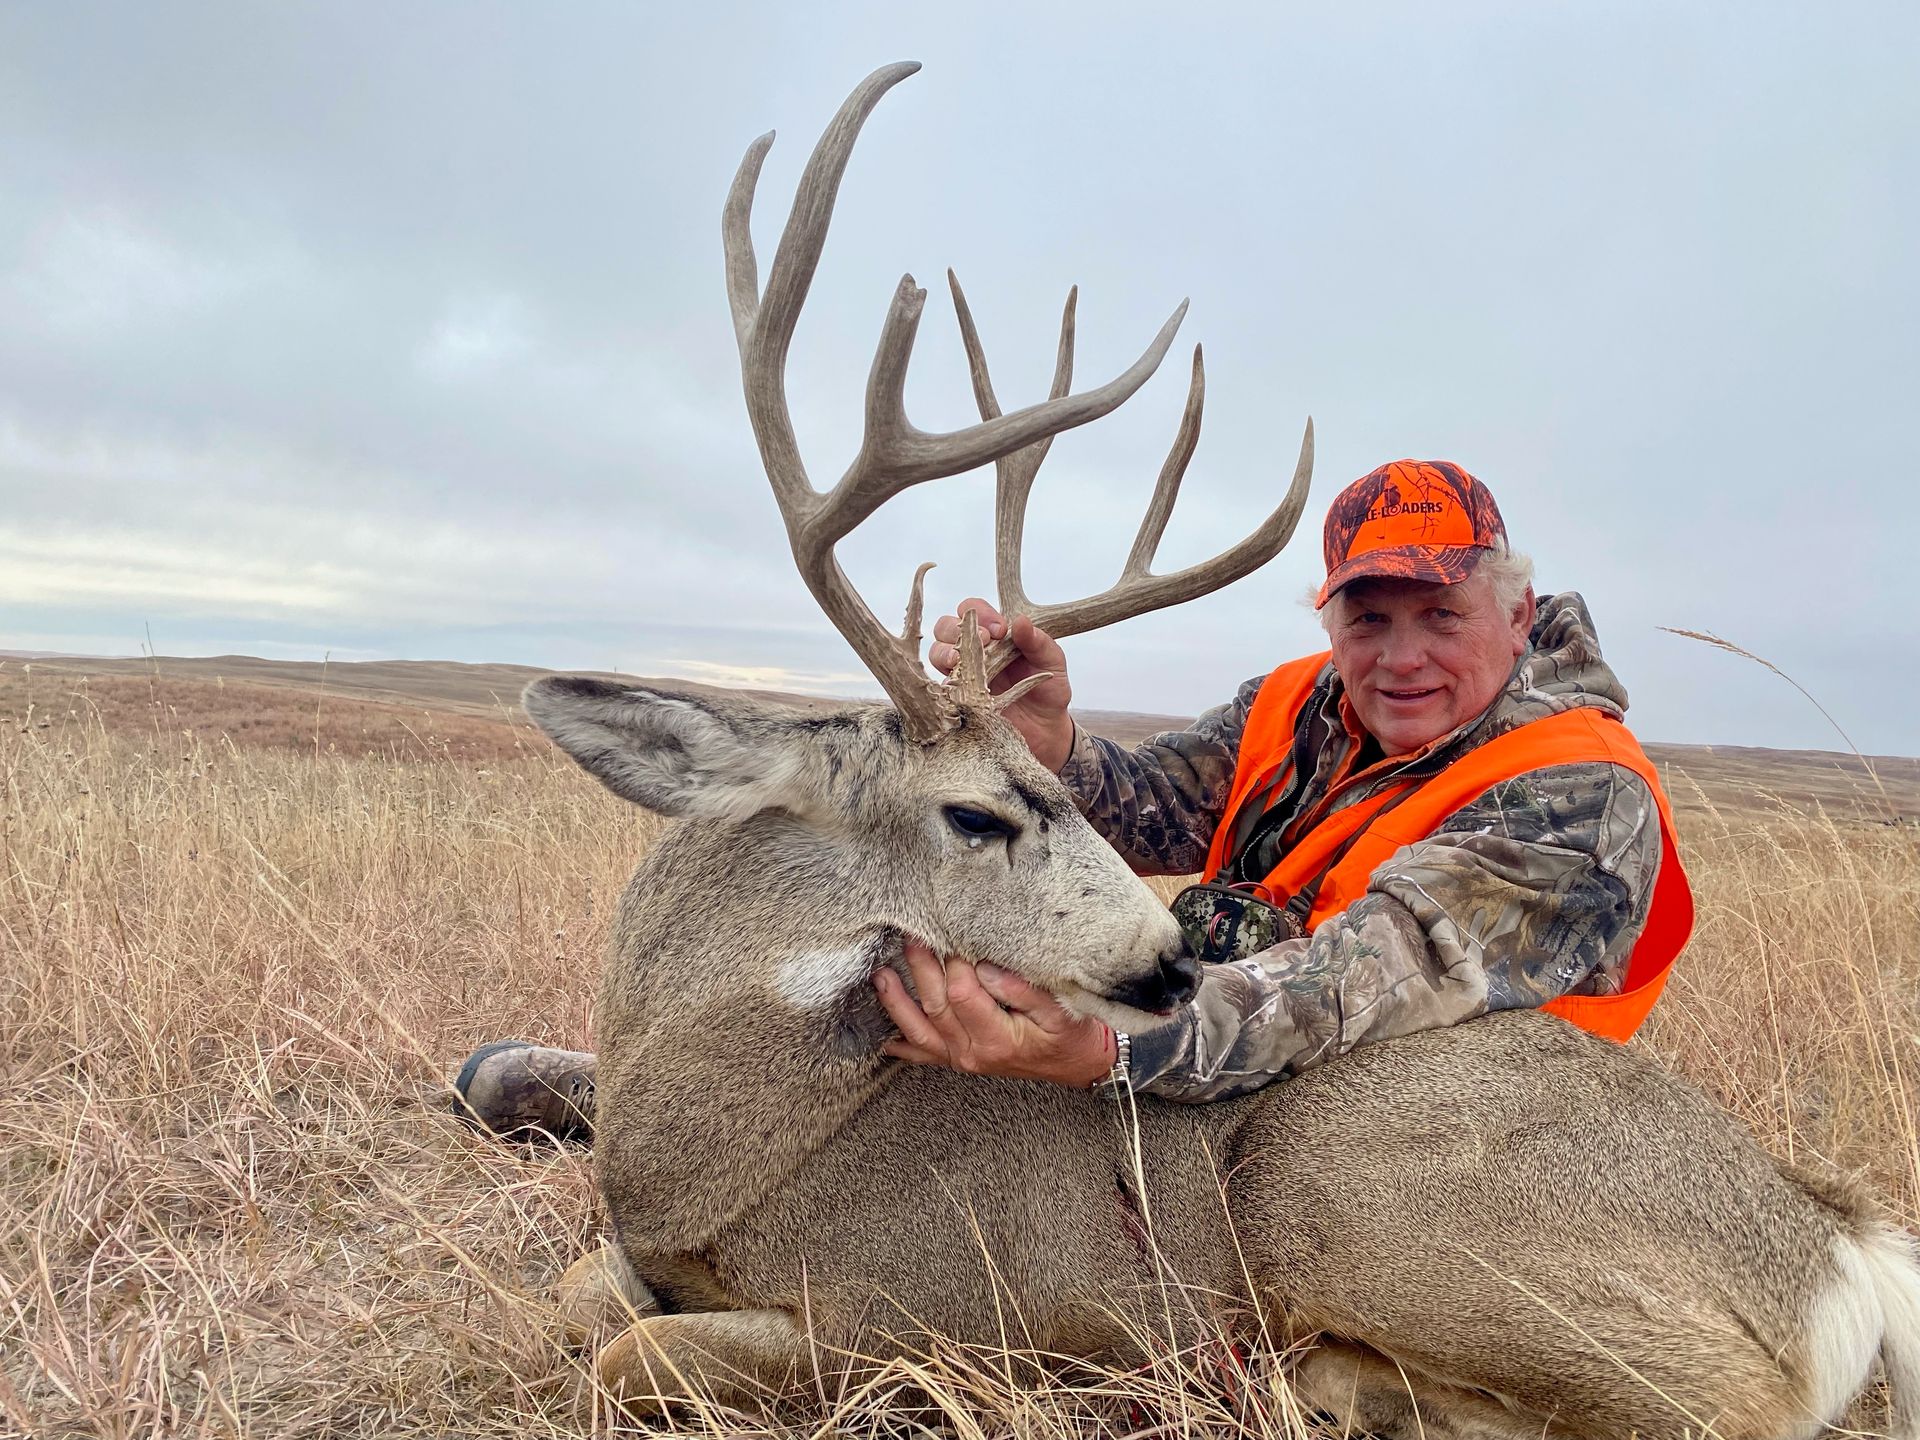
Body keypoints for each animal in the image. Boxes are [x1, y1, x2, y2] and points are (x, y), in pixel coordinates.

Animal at [521, 61, 1920, 1439]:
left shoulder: (922, 1317)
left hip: (1355, 1193)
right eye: (979, 813)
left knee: (1713, 1410)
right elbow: (584, 1300)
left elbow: (626, 1358)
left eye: (1020, 801)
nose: (1166, 964)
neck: (707, 1156)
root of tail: (1832, 1245)